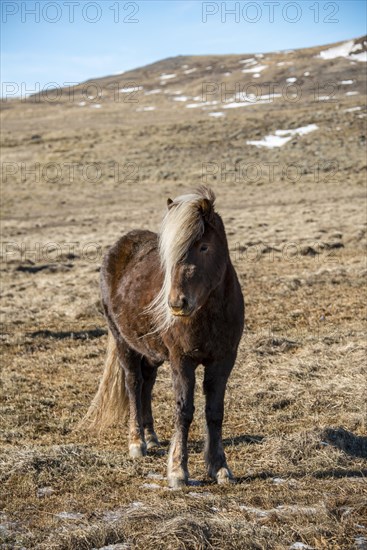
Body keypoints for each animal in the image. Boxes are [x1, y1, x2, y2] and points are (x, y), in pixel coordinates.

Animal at [82, 188, 244, 490]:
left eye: (204, 247)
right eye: (169, 255)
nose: (177, 303)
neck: (209, 312)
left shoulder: (223, 360)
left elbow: (215, 412)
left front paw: (220, 468)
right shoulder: (182, 361)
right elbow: (184, 410)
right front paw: (178, 471)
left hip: (151, 352)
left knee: (147, 385)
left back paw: (151, 436)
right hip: (124, 344)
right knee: (134, 385)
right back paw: (137, 443)